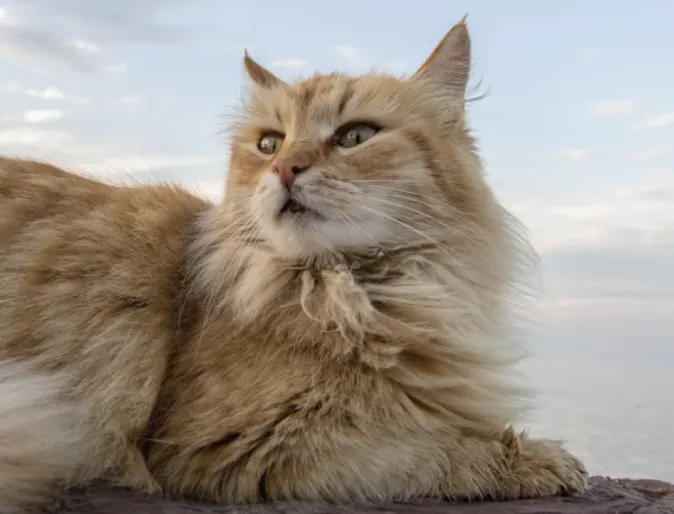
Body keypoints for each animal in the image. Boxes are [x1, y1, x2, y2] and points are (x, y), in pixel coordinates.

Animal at [0, 18, 584, 512]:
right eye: (269, 143)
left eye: (355, 137)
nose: (285, 168)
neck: (349, 291)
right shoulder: (233, 446)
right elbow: (426, 447)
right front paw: (532, 460)